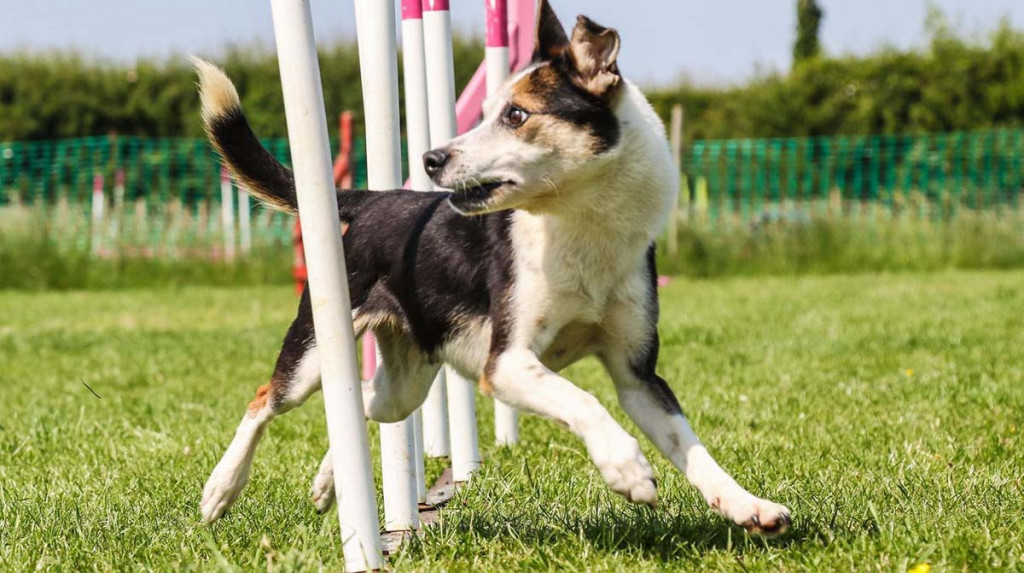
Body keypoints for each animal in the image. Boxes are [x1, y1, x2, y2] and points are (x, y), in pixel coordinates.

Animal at [197, 0, 790, 536]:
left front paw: (750, 508)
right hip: (316, 348)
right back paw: (220, 490)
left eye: (517, 115)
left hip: (406, 381)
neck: (583, 225)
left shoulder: (637, 373)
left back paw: (327, 483)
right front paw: (628, 469)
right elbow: (584, 400)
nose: (431, 159)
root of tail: (374, 199)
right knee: (266, 399)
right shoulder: (506, 364)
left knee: (364, 400)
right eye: (489, 113)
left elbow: (690, 446)